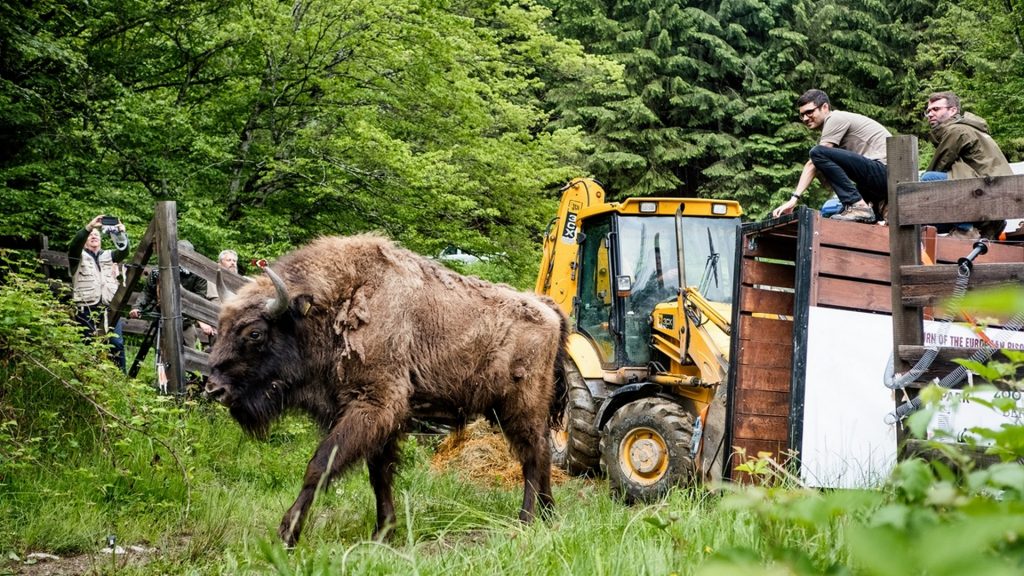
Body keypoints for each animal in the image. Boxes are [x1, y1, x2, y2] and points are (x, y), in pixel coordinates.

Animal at [203, 233, 565, 541]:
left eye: (254, 333)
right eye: (220, 325)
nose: (215, 389)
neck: (337, 304)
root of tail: (547, 308)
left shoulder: (373, 406)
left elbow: (320, 465)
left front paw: (287, 534)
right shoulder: (379, 421)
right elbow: (379, 474)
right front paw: (384, 533)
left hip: (521, 405)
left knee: (533, 454)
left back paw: (526, 519)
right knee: (542, 453)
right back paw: (548, 514)